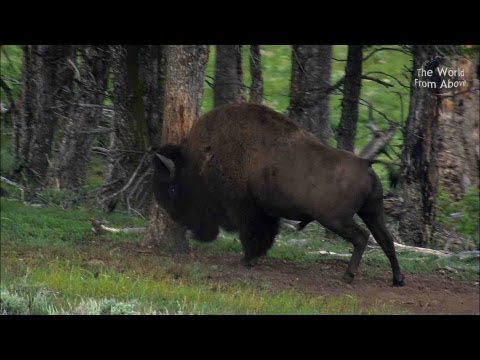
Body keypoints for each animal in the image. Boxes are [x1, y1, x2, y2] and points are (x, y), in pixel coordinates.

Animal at [154, 103, 404, 286]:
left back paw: (348, 276)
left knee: (362, 238)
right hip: (372, 212)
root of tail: (365, 163)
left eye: (173, 189)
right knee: (385, 239)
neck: (204, 159)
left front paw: (247, 260)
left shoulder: (246, 208)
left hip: (336, 219)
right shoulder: (264, 210)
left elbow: (253, 233)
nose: (180, 221)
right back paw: (397, 279)